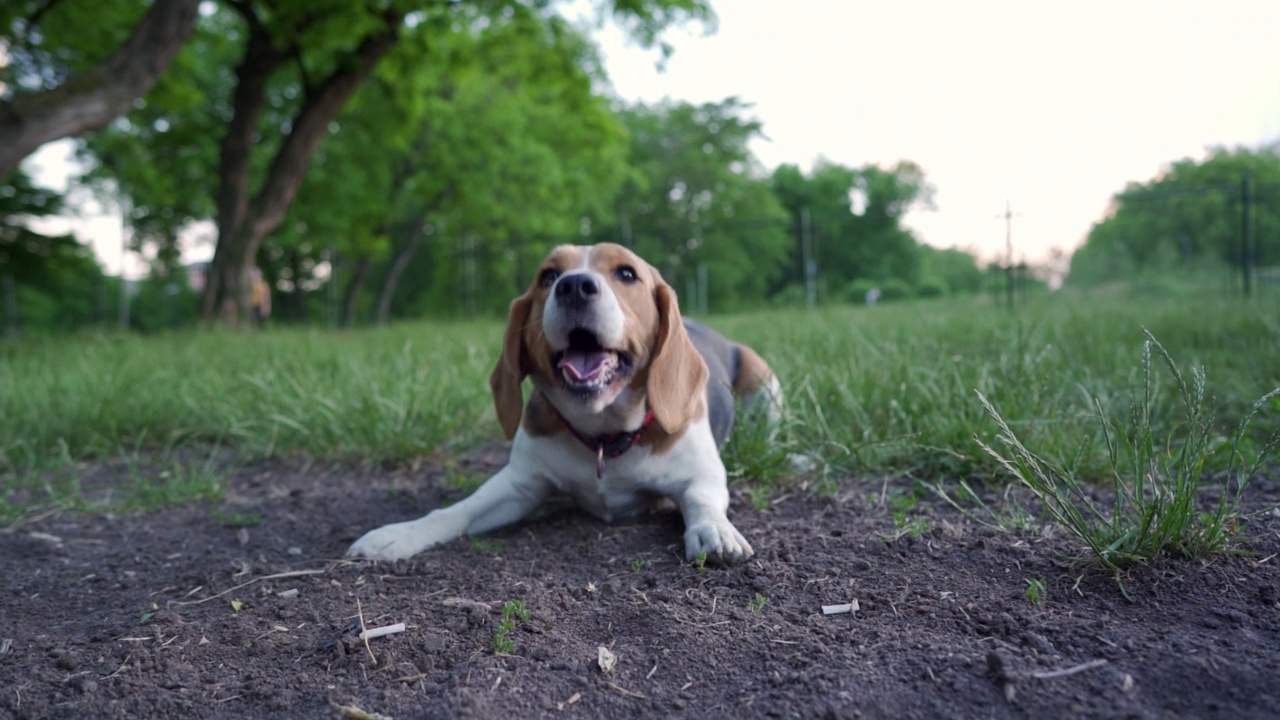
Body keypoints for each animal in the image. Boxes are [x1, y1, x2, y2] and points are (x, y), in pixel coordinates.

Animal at [350, 243, 783, 563]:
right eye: (548, 276)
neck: (605, 432)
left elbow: (700, 497)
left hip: (766, 382)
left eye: (627, 273)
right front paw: (399, 535)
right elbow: (459, 509)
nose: (574, 286)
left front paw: (714, 530)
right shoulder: (520, 483)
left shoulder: (703, 472)